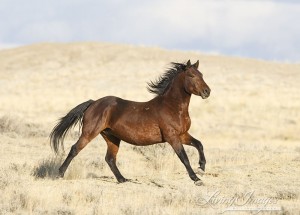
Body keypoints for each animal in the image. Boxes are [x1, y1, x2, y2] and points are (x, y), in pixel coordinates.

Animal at [50, 59, 211, 186]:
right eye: (191, 75)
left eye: (202, 75)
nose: (207, 92)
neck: (172, 107)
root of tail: (93, 103)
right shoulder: (172, 137)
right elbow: (184, 157)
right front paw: (196, 179)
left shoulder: (182, 134)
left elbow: (199, 144)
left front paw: (201, 168)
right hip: (89, 133)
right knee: (75, 149)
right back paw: (60, 174)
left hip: (112, 137)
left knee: (110, 159)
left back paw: (123, 179)